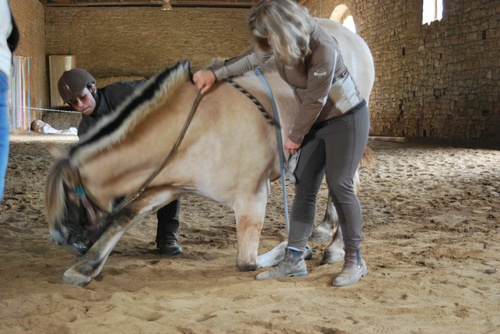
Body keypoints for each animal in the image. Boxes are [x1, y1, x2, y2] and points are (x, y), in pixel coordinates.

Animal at [45, 18, 374, 284]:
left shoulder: (253, 196)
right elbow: (125, 216)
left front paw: (294, 250)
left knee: (347, 185)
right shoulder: (168, 185)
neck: (197, 129)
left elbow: (246, 262)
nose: (60, 239)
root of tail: (352, 37)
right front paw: (85, 268)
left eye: (69, 197)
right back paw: (324, 230)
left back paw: (335, 248)